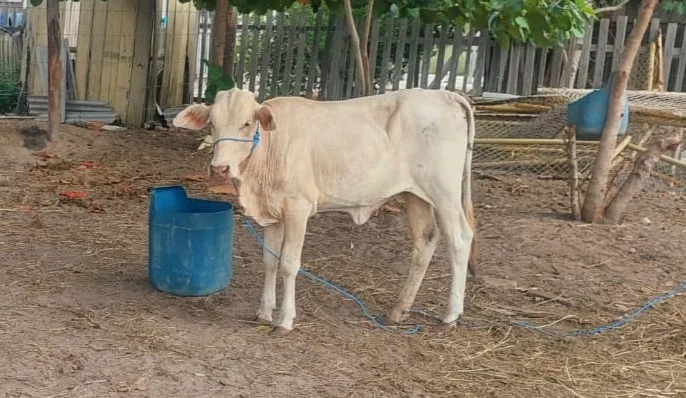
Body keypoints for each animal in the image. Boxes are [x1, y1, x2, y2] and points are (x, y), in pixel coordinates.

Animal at [173, 88, 478, 336]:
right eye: (213, 123)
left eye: (247, 123)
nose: (220, 168)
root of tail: (446, 94)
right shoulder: (272, 213)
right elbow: (270, 261)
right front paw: (264, 312)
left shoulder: (298, 208)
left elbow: (288, 264)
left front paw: (284, 320)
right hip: (416, 195)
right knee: (425, 241)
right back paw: (397, 311)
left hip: (444, 191)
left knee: (460, 239)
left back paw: (451, 316)